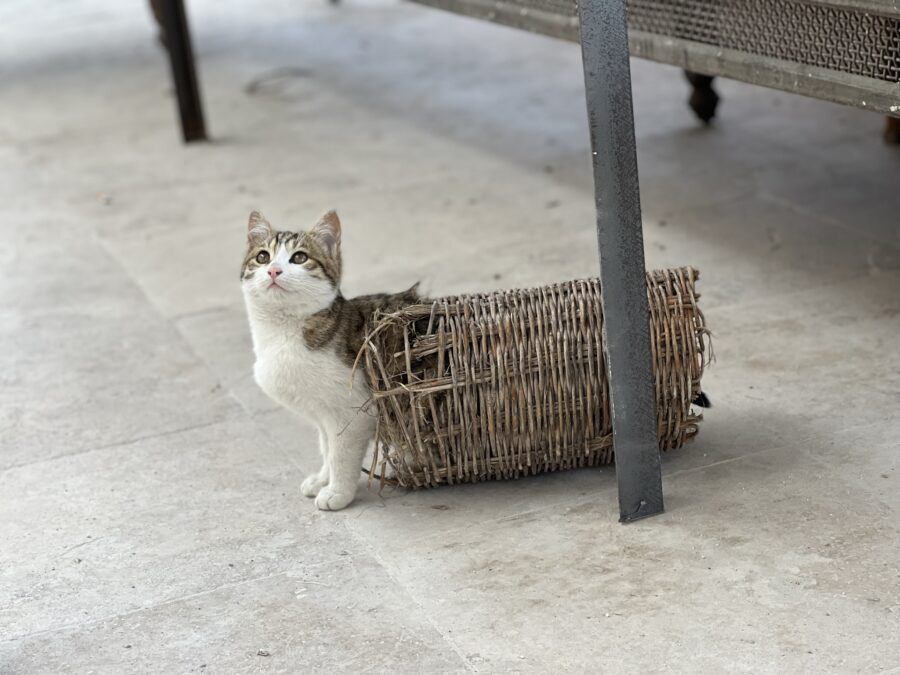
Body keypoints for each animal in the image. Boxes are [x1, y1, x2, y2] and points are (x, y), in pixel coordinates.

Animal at [241, 209, 420, 510]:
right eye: (263, 256)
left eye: (299, 257)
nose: (274, 270)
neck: (283, 334)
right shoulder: (321, 413)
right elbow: (326, 447)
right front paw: (323, 479)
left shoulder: (352, 412)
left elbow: (340, 453)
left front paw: (337, 492)